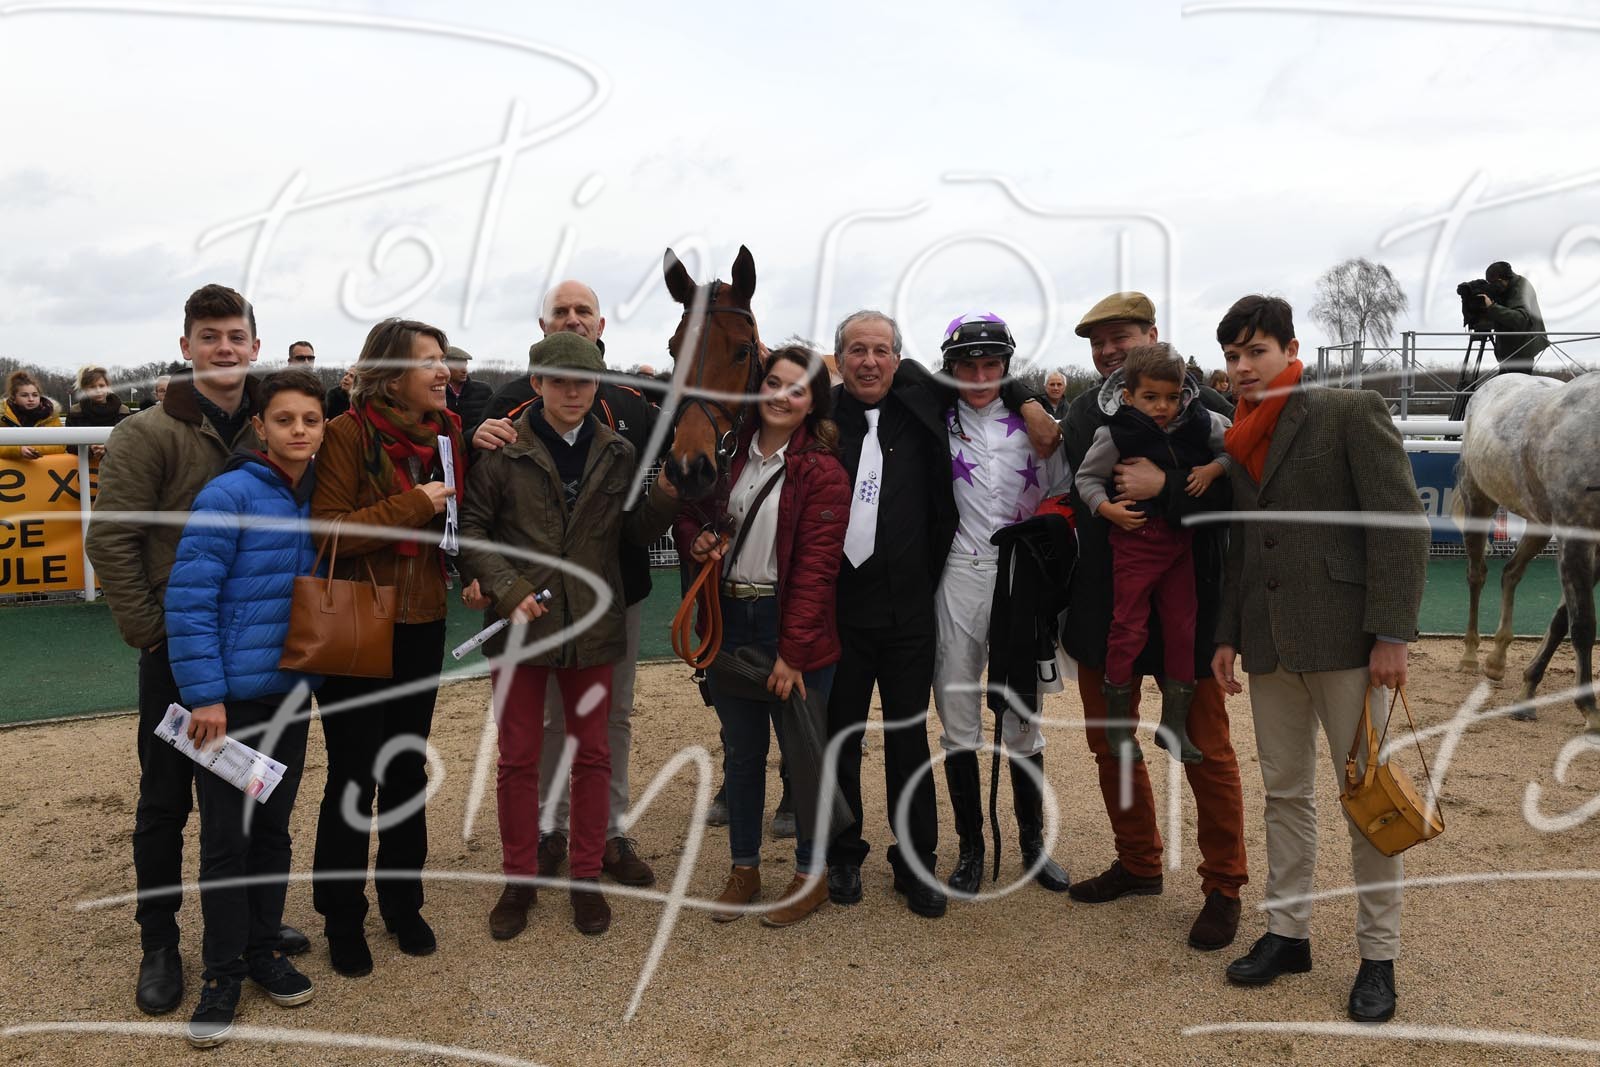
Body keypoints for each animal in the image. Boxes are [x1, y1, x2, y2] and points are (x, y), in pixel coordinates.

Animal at [1454, 371, 1600, 730]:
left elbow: (1561, 620)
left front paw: (1527, 693)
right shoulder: (1576, 539)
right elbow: (1582, 624)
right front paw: (1590, 710)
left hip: (1537, 524)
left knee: (1511, 573)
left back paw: (1497, 659)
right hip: (1477, 500)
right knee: (1477, 575)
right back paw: (1471, 655)